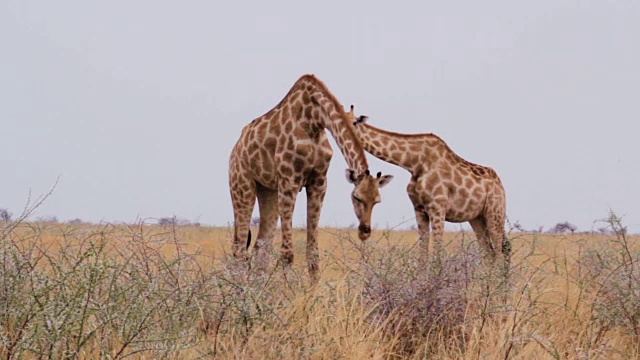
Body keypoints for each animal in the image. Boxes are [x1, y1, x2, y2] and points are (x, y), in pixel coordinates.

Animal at [228, 74, 392, 282]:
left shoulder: (319, 183)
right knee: (239, 249)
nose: (365, 231)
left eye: (377, 201)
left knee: (260, 248)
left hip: (269, 190)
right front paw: (288, 291)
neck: (313, 120)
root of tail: (236, 147)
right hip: (241, 185)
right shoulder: (289, 182)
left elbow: (313, 254)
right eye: (356, 197)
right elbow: (287, 255)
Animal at [350, 109, 510, 268]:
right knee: (488, 251)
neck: (414, 163)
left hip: (495, 212)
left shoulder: (437, 208)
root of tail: (500, 185)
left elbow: (438, 252)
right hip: (477, 217)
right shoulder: (419, 209)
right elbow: (423, 253)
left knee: (499, 250)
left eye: (353, 122)